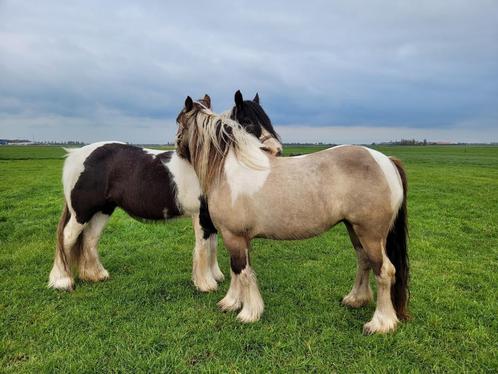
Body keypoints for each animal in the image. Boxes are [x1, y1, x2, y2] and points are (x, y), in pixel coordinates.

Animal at [48, 90, 282, 292]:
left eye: (267, 120)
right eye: (248, 122)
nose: (276, 151)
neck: (206, 165)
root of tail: (75, 154)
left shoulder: (210, 218)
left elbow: (213, 246)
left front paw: (215, 276)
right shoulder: (200, 216)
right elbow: (203, 247)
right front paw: (206, 284)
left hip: (103, 210)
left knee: (90, 239)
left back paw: (95, 275)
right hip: (81, 212)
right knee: (67, 238)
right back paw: (63, 281)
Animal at [175, 96, 408, 334]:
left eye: (179, 121)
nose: (177, 148)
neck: (230, 171)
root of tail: (386, 161)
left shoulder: (234, 236)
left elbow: (241, 271)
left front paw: (248, 313)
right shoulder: (242, 239)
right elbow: (239, 271)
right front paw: (231, 303)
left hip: (371, 235)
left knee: (385, 271)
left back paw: (381, 322)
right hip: (354, 229)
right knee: (364, 261)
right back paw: (355, 299)